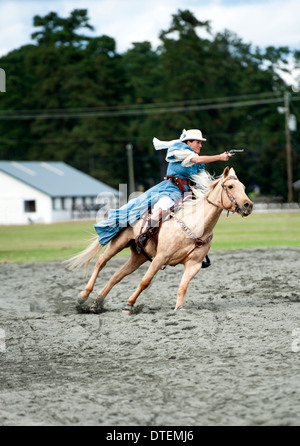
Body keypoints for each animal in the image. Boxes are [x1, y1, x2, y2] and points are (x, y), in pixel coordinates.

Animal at [66, 168, 253, 314]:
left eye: (244, 187)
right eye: (230, 186)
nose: (248, 205)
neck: (194, 225)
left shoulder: (194, 264)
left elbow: (183, 286)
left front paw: (179, 308)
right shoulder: (160, 258)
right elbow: (145, 282)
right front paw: (128, 305)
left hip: (138, 256)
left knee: (117, 275)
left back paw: (97, 303)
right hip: (120, 242)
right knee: (101, 262)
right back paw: (83, 296)